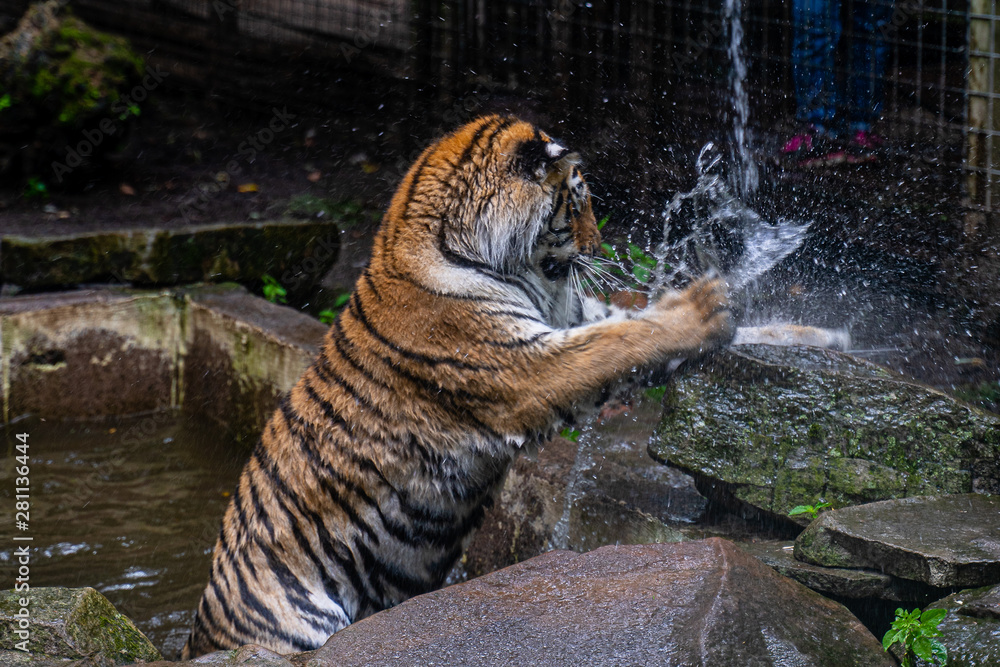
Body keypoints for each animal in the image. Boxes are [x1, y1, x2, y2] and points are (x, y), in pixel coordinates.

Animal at [184, 115, 736, 656]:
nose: (599, 248)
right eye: (577, 203)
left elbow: (621, 326)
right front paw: (706, 307)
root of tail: (198, 636)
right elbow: (618, 341)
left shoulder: (562, 321)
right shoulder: (527, 369)